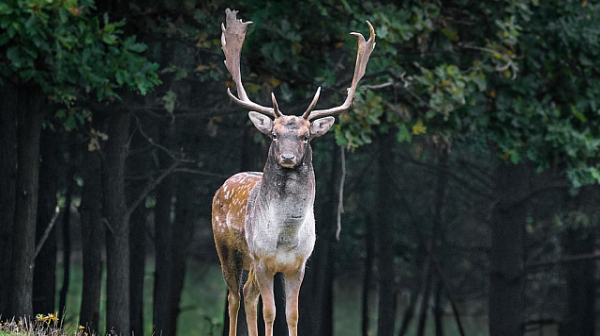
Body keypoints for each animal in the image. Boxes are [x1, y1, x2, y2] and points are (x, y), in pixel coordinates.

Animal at [212, 8, 376, 336]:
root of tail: (223, 185)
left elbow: (292, 314)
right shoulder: (262, 260)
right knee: (234, 297)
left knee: (247, 294)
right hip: (227, 249)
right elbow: (271, 312)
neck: (285, 238)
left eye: (305, 136)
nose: (287, 157)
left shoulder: (298, 265)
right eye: (274, 135)